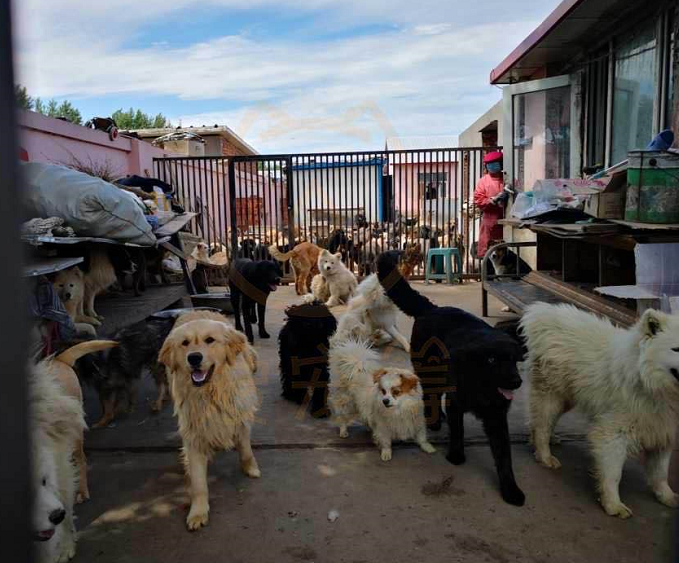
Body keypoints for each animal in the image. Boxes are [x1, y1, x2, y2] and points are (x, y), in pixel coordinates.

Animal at [159, 310, 260, 532]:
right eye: (185, 343)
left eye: (210, 340)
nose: (194, 357)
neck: (209, 393)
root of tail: (193, 309)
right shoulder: (193, 435)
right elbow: (198, 483)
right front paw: (198, 512)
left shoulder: (240, 417)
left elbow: (245, 449)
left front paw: (250, 468)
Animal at [378, 253, 524, 508]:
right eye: (492, 359)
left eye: (514, 360)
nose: (516, 382)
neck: (481, 385)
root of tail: (431, 308)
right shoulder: (457, 403)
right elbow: (458, 430)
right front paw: (456, 455)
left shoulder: (496, 417)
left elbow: (504, 455)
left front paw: (510, 489)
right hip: (430, 374)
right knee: (431, 396)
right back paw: (435, 420)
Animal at [520, 304, 679, 520]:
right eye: (676, 349)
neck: (648, 382)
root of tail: (543, 312)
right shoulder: (613, 434)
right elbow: (613, 474)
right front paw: (613, 505)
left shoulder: (663, 431)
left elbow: (661, 473)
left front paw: (667, 496)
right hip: (551, 396)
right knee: (541, 426)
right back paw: (545, 456)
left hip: (565, 399)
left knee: (540, 423)